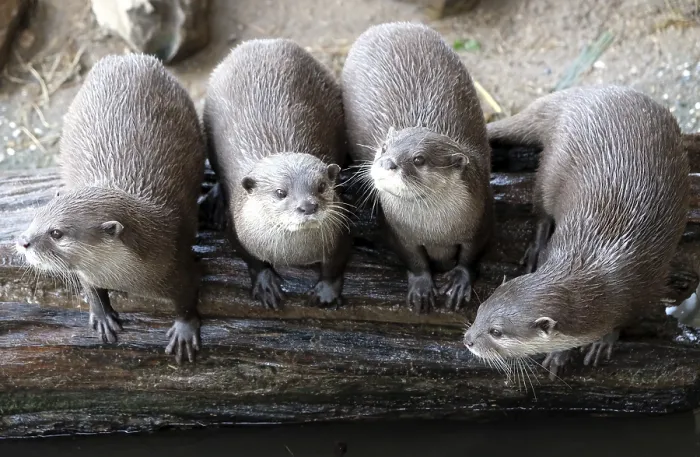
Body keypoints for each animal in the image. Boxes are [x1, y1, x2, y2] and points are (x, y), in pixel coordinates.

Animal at [16, 54, 206, 364]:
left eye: (56, 233)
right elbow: (89, 286)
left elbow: (188, 298)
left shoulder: (177, 264)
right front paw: (102, 314)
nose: (23, 241)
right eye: (38, 215)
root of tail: (127, 57)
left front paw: (184, 330)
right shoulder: (88, 273)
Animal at [203, 39, 351, 310]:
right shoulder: (239, 228)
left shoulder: (342, 230)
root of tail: (263, 41)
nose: (308, 206)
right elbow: (252, 260)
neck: (293, 253)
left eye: (321, 186)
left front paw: (326, 292)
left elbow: (335, 264)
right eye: (281, 192)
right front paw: (265, 284)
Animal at [341, 22, 493, 314]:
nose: (387, 162)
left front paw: (460, 280)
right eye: (384, 147)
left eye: (419, 159)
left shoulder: (481, 217)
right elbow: (414, 259)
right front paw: (422, 286)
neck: (435, 229)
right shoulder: (400, 232)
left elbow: (470, 255)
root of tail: (387, 26)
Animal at [463, 85, 689, 377]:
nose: (468, 339)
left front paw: (603, 341)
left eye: (496, 331)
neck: (606, 278)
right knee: (542, 210)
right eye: (480, 309)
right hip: (551, 168)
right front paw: (560, 355)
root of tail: (572, 98)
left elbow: (624, 321)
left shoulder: (648, 289)